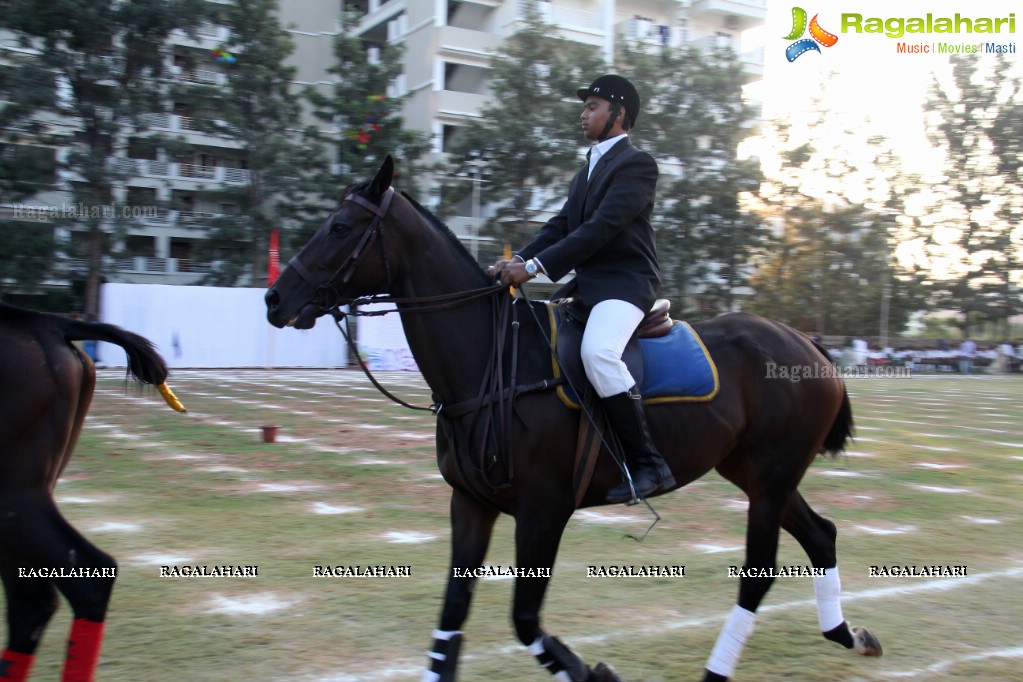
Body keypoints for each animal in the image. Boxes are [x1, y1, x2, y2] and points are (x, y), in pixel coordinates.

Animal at [263, 157, 879, 678]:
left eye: (340, 227)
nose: (274, 299)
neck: (490, 364)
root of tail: (807, 342)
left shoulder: (543, 511)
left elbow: (524, 618)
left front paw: (593, 671)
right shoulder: (471, 504)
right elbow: (453, 615)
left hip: (770, 476)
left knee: (760, 571)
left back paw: (719, 669)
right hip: (754, 472)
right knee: (820, 535)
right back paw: (849, 634)